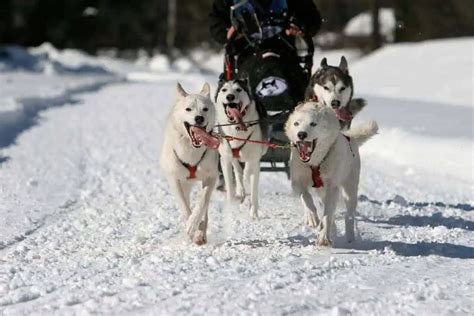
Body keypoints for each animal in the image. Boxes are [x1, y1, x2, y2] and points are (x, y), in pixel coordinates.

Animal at [159, 82, 218, 246]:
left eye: (205, 109)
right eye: (188, 109)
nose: (199, 118)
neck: (191, 151)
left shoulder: (211, 177)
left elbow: (202, 203)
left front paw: (195, 225)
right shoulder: (174, 180)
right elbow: (185, 208)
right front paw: (193, 228)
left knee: (204, 208)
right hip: (184, 184)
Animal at [215, 78, 266, 218]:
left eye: (238, 89)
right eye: (224, 90)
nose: (230, 96)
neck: (237, 128)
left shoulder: (255, 159)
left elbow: (252, 186)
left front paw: (254, 213)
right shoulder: (225, 159)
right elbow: (230, 183)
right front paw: (232, 203)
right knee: (237, 170)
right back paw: (240, 191)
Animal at [286, 102, 378, 246]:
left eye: (313, 123)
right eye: (296, 123)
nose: (301, 134)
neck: (315, 162)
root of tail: (350, 138)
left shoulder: (332, 187)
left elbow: (328, 215)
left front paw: (324, 237)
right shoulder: (297, 181)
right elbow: (306, 197)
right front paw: (312, 217)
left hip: (349, 189)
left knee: (348, 215)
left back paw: (349, 237)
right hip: (321, 193)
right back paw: (331, 229)